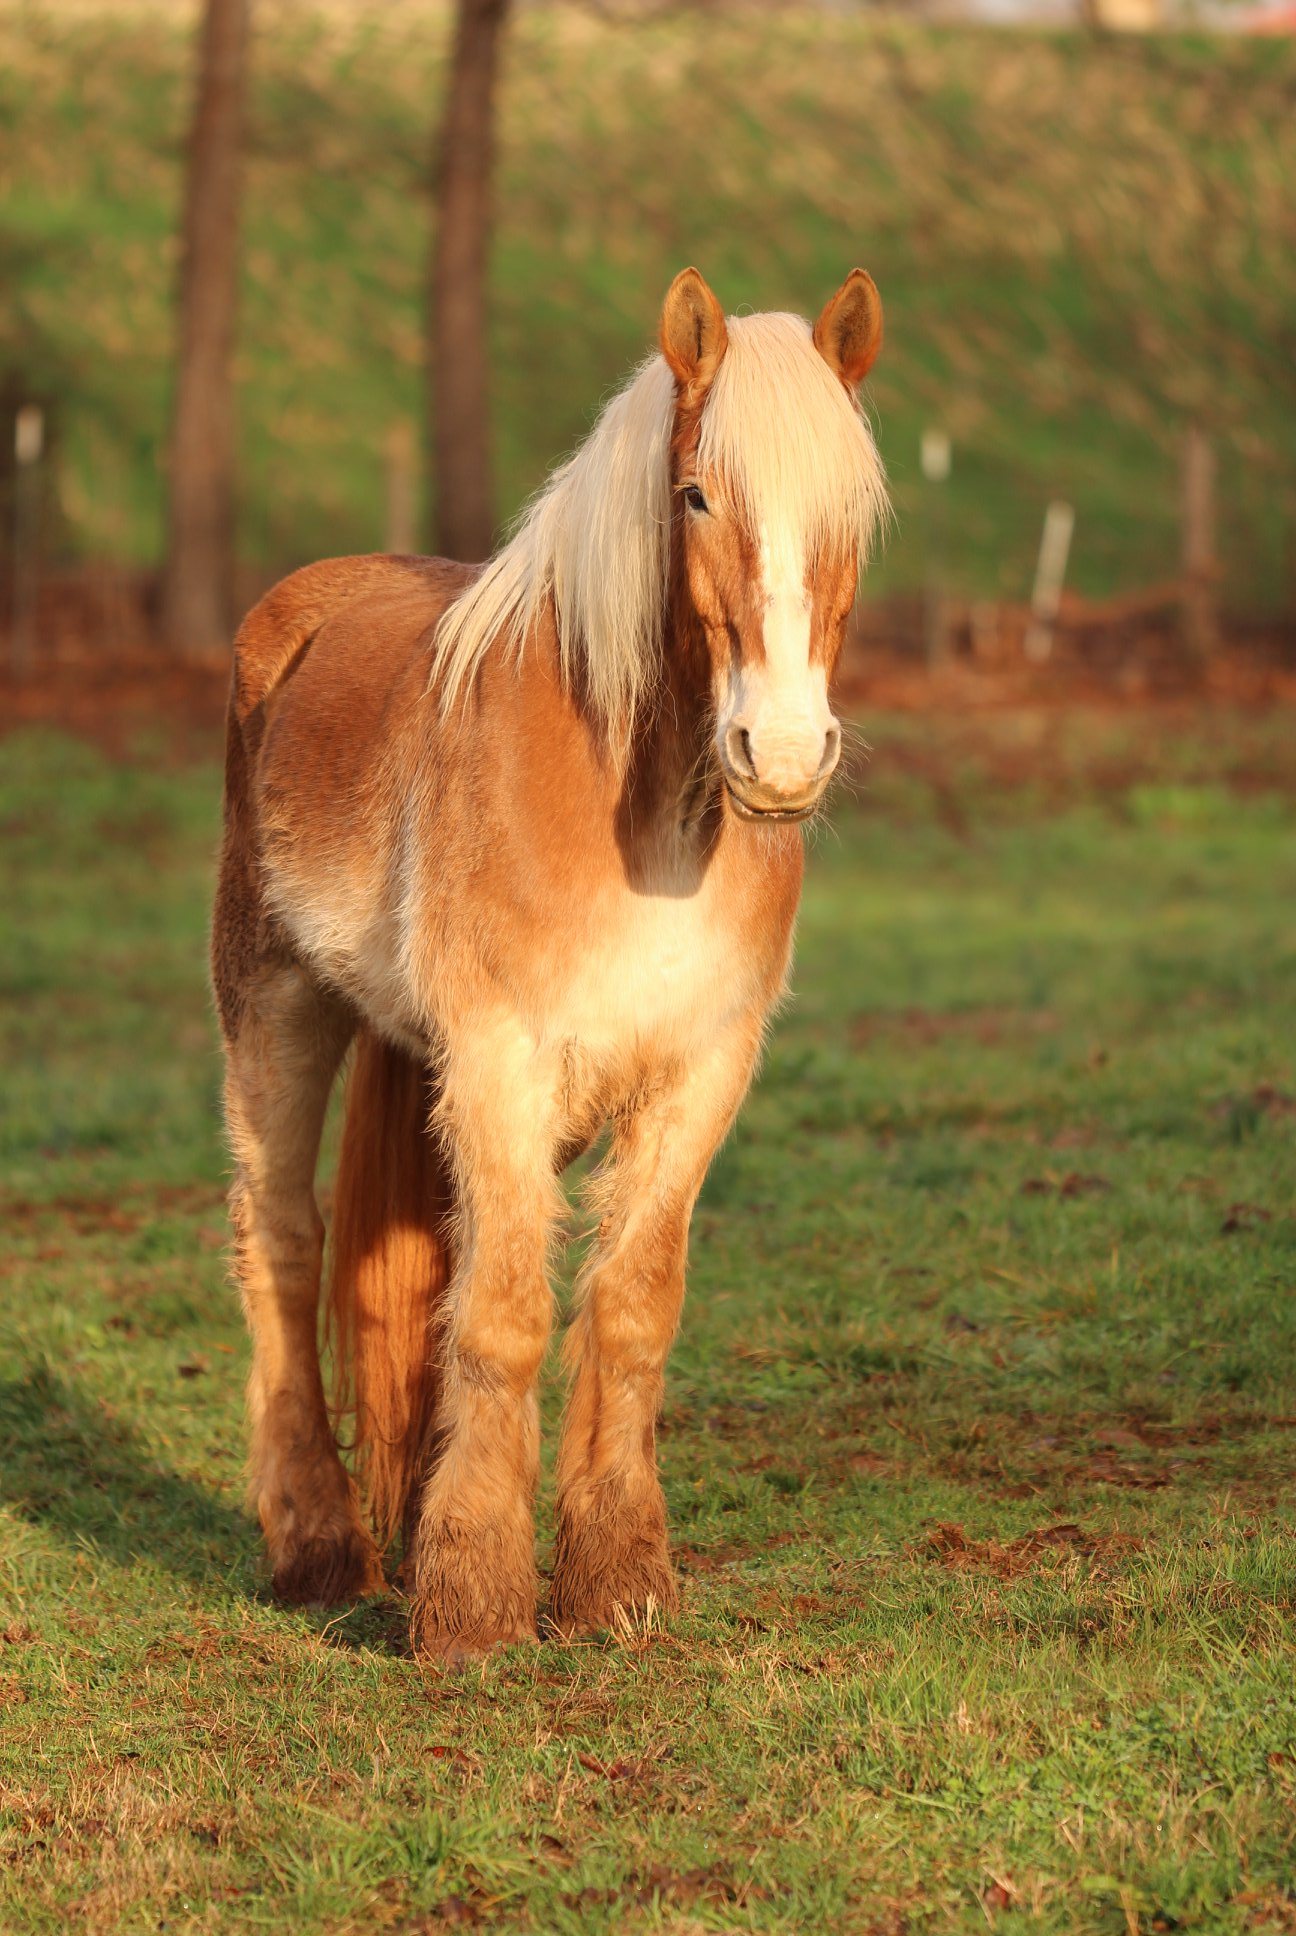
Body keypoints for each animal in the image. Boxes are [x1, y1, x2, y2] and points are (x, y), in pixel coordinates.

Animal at [211, 266, 887, 1665]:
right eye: (696, 494)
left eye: (853, 511)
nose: (784, 754)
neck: (645, 820)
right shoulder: (501, 1062)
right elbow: (509, 1313)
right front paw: (472, 1604)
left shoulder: (700, 1073)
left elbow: (627, 1307)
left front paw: (614, 1580)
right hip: (271, 1010)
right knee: (283, 1243)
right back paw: (318, 1546)